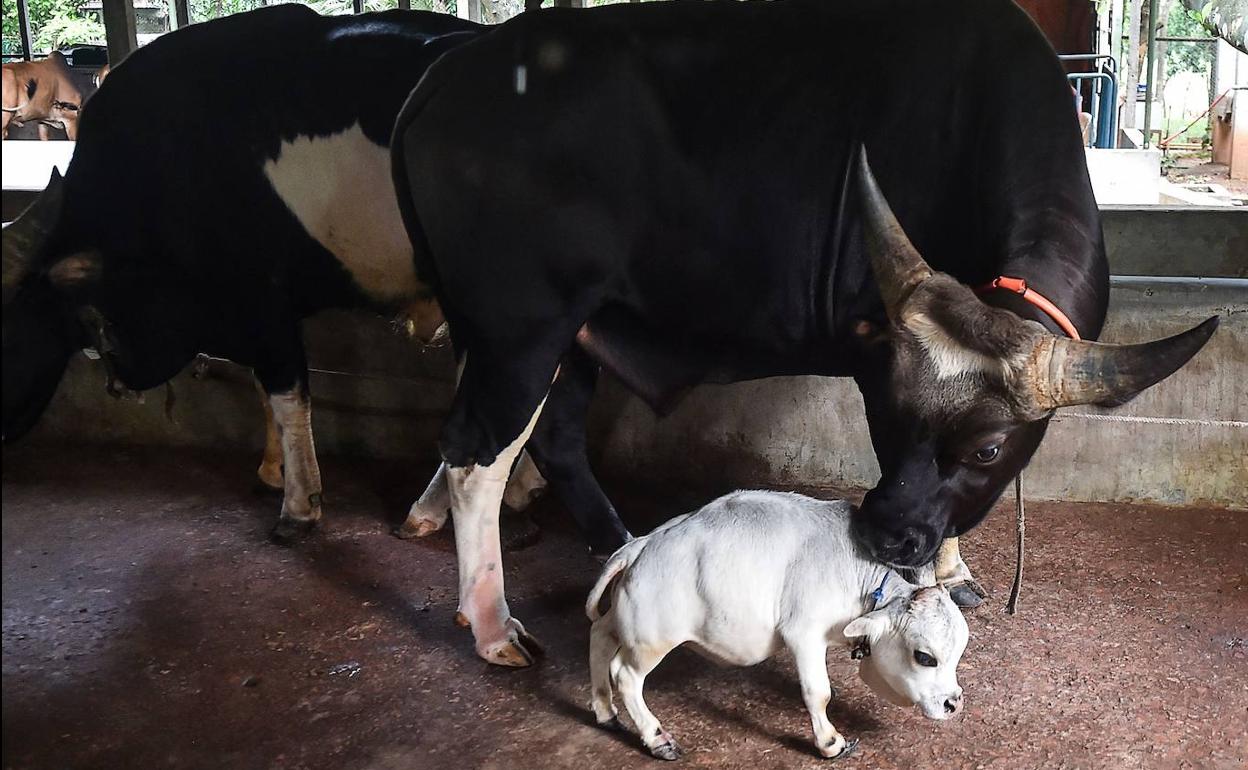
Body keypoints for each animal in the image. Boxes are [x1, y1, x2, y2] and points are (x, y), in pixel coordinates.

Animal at [391, 0, 1218, 668]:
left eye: (988, 448)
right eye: (885, 417)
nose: (885, 536)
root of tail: (455, 66)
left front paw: (952, 567)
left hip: (573, 331)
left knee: (554, 439)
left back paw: (611, 542)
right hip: (522, 330)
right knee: (476, 453)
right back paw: (492, 623)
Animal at [584, 489, 963, 758]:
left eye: (958, 654)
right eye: (924, 657)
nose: (953, 704)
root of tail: (640, 545)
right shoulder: (804, 633)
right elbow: (818, 692)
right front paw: (830, 742)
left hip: (623, 620)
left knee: (599, 636)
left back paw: (605, 712)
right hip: (651, 639)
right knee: (625, 675)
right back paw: (657, 739)